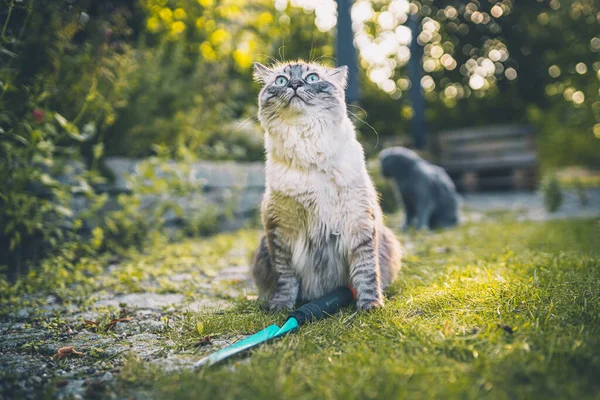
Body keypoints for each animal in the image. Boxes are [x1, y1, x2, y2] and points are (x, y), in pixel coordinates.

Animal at [251, 59, 400, 310]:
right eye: (280, 81)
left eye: (312, 78)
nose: (294, 84)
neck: (306, 147)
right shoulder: (281, 230)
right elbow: (285, 278)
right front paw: (281, 306)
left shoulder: (358, 222)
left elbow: (366, 272)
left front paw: (370, 305)